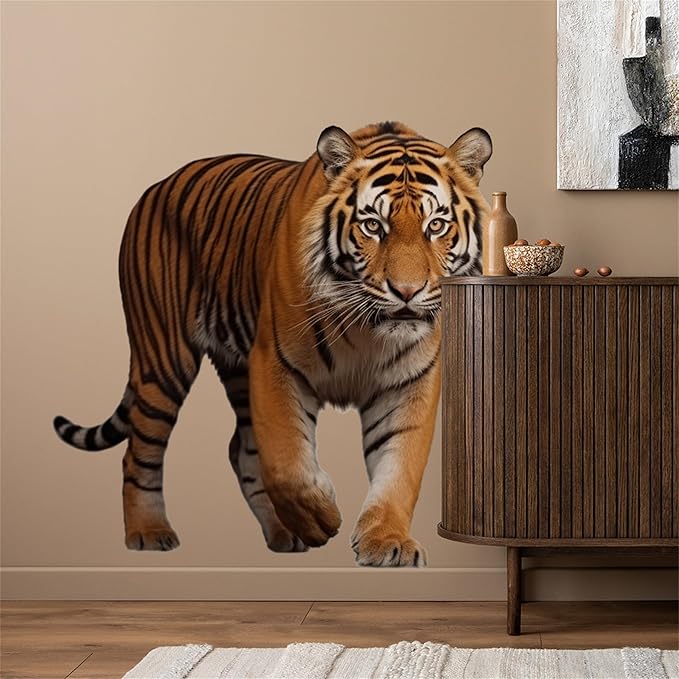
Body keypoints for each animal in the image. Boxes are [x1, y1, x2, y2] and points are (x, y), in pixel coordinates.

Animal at [53, 121, 492, 566]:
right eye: (373, 226)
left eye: (435, 226)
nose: (406, 291)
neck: (367, 331)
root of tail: (155, 187)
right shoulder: (275, 363)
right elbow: (286, 463)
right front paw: (319, 519)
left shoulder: (410, 382)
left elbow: (400, 465)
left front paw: (387, 542)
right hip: (164, 360)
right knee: (140, 451)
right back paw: (149, 532)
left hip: (235, 368)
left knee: (240, 449)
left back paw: (282, 532)